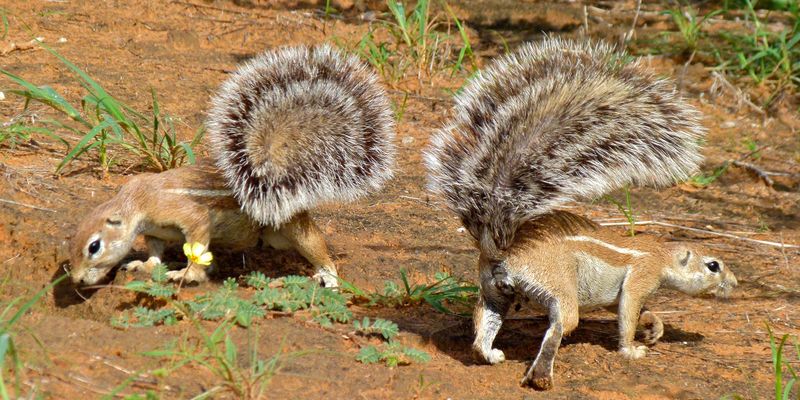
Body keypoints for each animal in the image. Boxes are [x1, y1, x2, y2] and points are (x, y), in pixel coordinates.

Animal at [69, 45, 395, 287]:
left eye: (94, 246)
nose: (76, 280)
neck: (136, 202)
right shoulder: (155, 232)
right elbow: (155, 253)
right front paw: (144, 265)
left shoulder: (186, 214)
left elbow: (197, 245)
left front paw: (186, 274)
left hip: (292, 227)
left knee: (315, 245)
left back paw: (328, 275)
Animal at [424, 37, 737, 390]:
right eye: (713, 266)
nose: (734, 283)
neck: (661, 255)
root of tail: (501, 246)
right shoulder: (641, 277)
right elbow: (628, 314)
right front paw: (631, 349)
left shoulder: (627, 293)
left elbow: (638, 311)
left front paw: (655, 327)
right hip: (556, 286)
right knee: (559, 327)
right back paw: (541, 376)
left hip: (496, 292)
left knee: (485, 322)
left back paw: (490, 354)